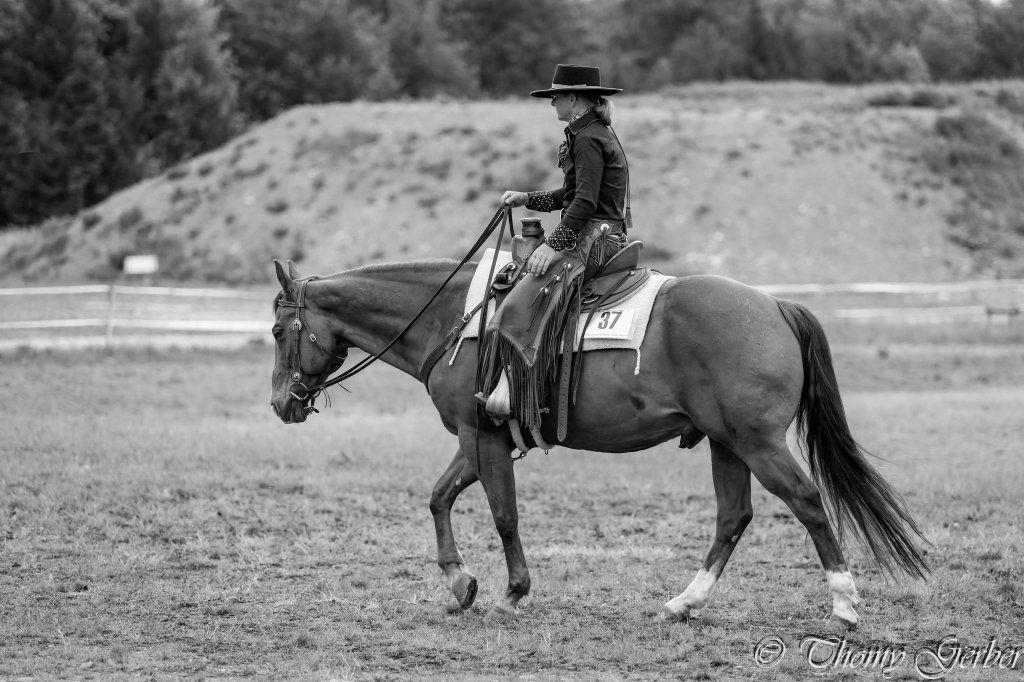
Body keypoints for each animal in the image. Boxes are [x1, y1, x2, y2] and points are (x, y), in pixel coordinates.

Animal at [269, 257, 927, 630]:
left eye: (278, 329)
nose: (280, 404)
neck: (459, 320)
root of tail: (772, 305)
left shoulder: (481, 436)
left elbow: (504, 514)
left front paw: (512, 593)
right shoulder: (477, 437)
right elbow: (439, 497)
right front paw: (460, 586)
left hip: (758, 443)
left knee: (808, 502)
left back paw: (844, 607)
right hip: (727, 444)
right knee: (733, 517)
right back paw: (683, 604)